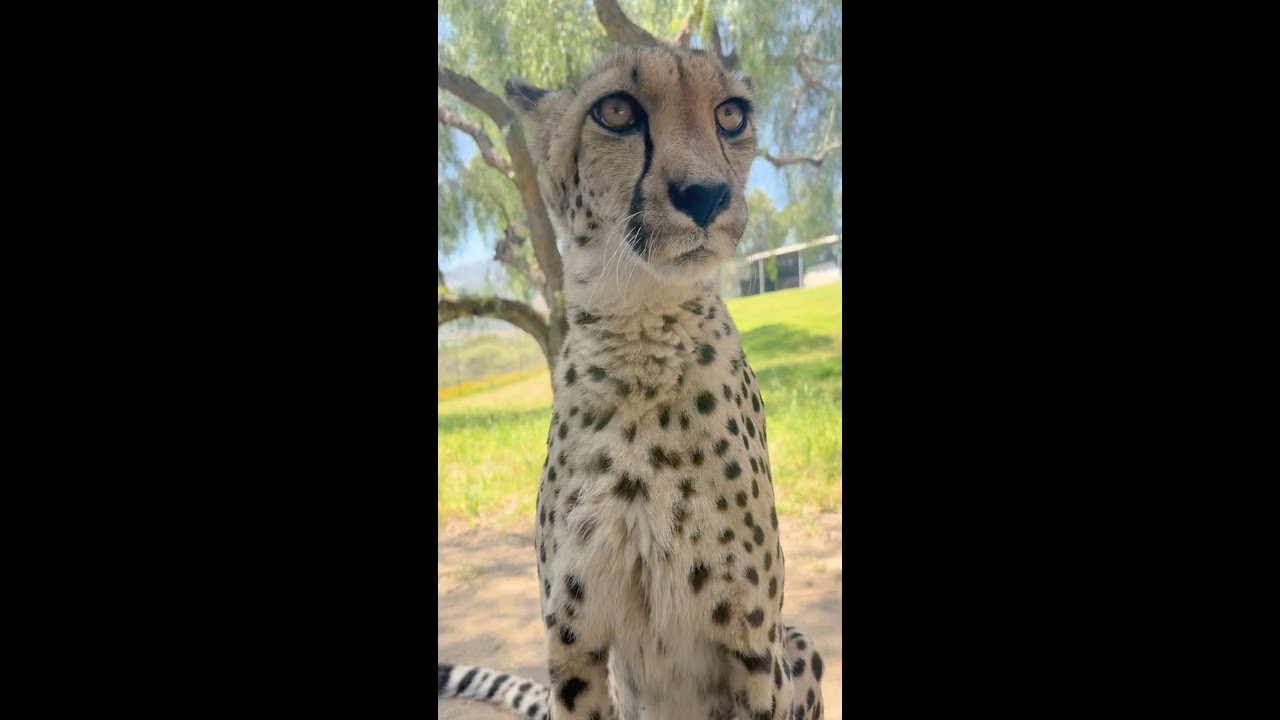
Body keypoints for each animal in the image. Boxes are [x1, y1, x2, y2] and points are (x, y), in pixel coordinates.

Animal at [439, 44, 826, 720]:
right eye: (616, 111)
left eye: (730, 115)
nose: (706, 195)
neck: (644, 333)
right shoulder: (575, 650)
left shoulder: (754, 651)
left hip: (800, 644)